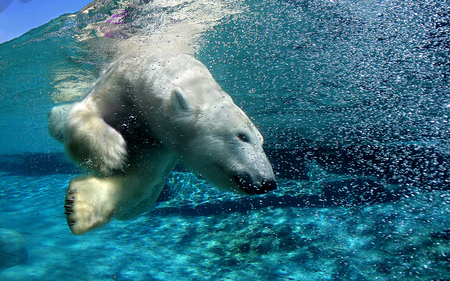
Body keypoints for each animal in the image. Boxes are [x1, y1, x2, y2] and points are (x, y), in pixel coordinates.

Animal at [48, 48, 274, 234]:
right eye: (242, 136)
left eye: (261, 141)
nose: (267, 182)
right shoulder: (120, 84)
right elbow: (86, 111)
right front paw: (111, 153)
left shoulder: (161, 143)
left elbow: (141, 178)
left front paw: (78, 205)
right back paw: (56, 115)